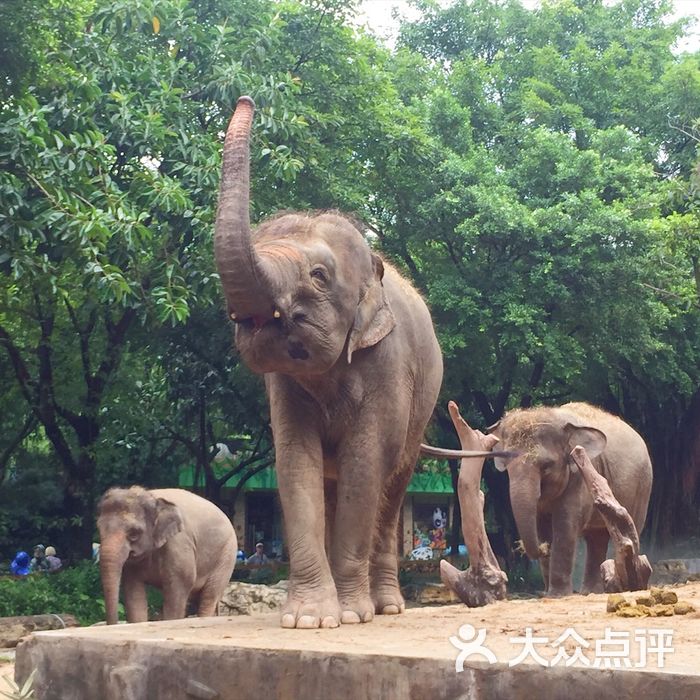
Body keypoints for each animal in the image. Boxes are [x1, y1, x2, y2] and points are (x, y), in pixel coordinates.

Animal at [95, 486, 238, 624]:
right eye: (99, 529)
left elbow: (179, 586)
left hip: (227, 554)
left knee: (209, 596)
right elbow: (133, 591)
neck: (152, 497)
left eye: (134, 533)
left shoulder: (179, 544)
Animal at [213, 97, 498, 628]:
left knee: (392, 485)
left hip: (422, 408)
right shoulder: (284, 385)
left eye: (319, 276)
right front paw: (308, 619)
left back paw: (385, 606)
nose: (246, 99)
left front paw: (347, 615)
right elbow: (294, 461)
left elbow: (365, 463)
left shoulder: (390, 364)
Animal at [492, 404, 652, 596]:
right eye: (507, 466)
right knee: (596, 538)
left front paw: (557, 595)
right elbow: (541, 525)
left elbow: (566, 525)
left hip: (643, 487)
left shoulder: (579, 475)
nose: (542, 549)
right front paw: (548, 593)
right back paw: (590, 592)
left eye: (546, 466)